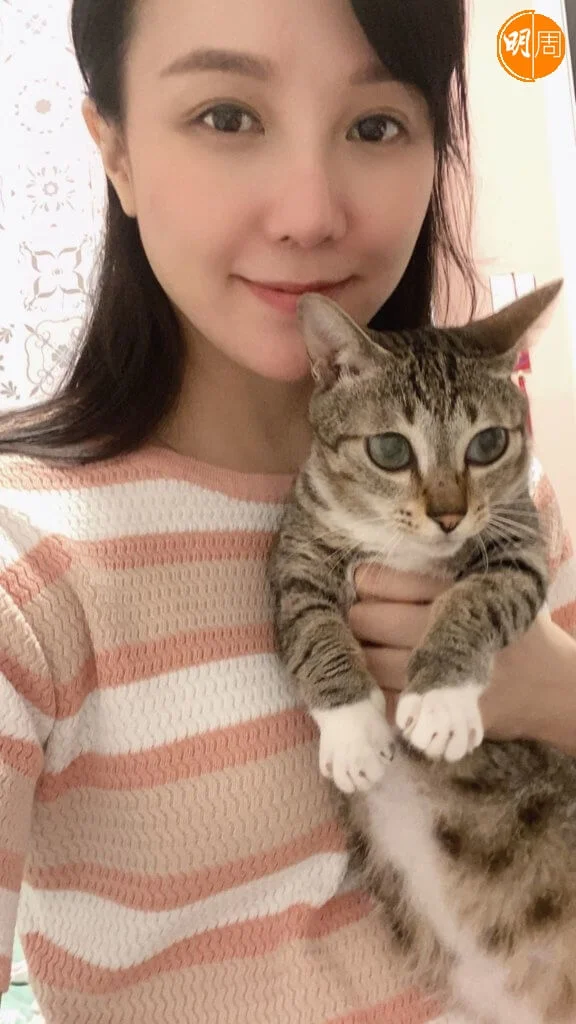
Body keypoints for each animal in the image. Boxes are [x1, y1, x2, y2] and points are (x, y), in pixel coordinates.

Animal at [268, 280, 576, 1024]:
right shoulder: (294, 552)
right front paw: (352, 732)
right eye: (390, 450)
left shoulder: (519, 540)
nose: (448, 515)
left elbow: (482, 594)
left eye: (487, 443)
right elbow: (310, 626)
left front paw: (440, 702)